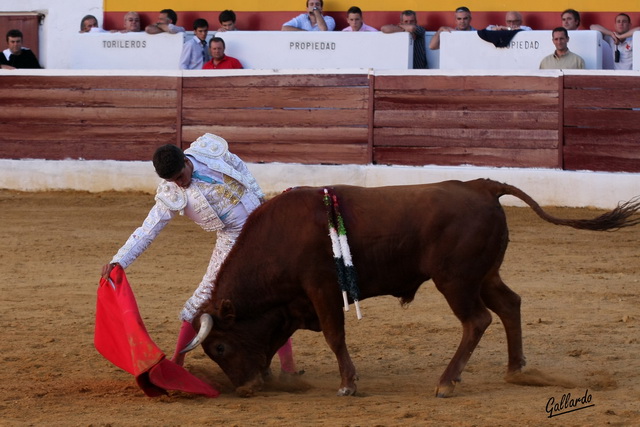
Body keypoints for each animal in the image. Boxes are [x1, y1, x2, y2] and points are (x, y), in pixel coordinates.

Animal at [182, 178, 636, 398]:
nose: (243, 391)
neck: (279, 236)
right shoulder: (294, 305)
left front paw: (348, 384)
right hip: (484, 275)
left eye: (219, 347)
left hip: (456, 280)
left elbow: (333, 335)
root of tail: (482, 185)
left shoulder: (321, 288)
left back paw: (447, 382)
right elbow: (278, 339)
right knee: (510, 305)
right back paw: (516, 369)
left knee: (477, 320)